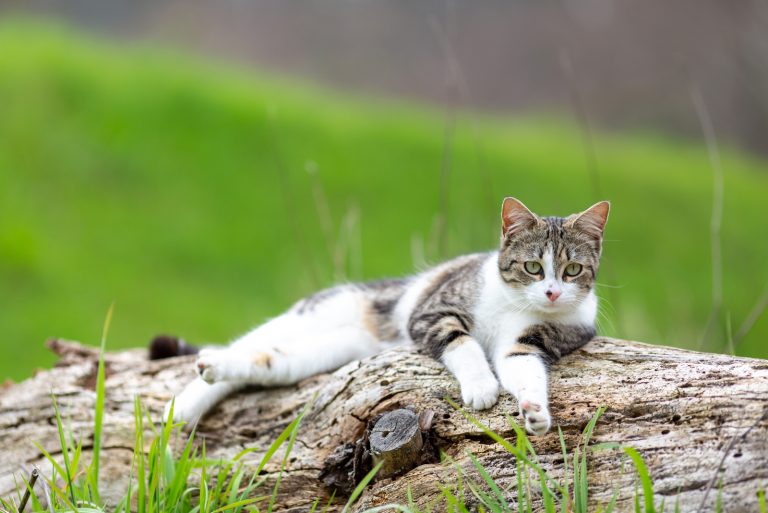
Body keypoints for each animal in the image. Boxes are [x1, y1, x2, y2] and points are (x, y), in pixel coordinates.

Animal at [159, 197, 608, 436]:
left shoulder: (533, 340)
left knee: (269, 361)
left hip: (328, 352)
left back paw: (209, 378)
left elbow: (524, 369)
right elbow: (462, 344)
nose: (552, 292)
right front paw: (481, 385)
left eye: (572, 270)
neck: (516, 305)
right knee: (245, 342)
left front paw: (535, 411)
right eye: (533, 267)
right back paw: (186, 398)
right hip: (322, 311)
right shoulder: (433, 313)